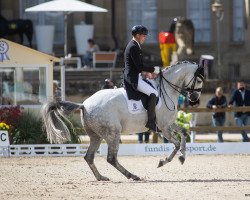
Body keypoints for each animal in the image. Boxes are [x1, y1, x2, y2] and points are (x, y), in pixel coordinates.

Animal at [41, 60, 205, 180]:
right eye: (199, 80)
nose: (195, 100)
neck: (167, 90)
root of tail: (84, 105)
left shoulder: (168, 124)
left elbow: (183, 132)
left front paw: (183, 156)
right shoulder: (163, 126)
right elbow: (176, 144)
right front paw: (163, 161)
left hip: (96, 136)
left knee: (89, 157)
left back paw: (101, 177)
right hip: (113, 133)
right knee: (111, 158)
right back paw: (132, 176)